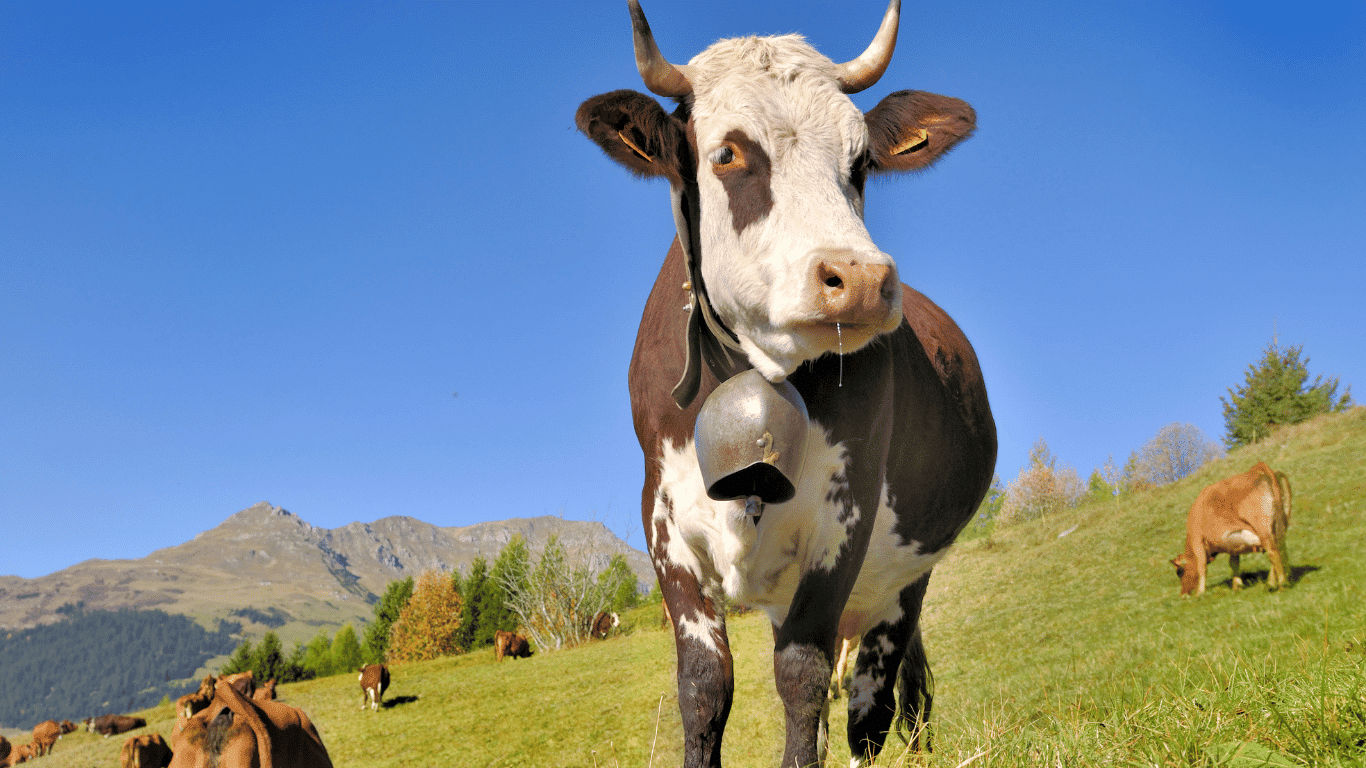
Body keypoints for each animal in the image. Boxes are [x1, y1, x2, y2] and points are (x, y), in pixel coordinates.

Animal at [570, 2, 999, 759]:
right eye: (728, 153)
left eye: (861, 161)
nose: (860, 278)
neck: (755, 368)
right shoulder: (665, 524)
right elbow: (704, 687)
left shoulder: (844, 520)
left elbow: (802, 678)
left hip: (903, 582)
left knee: (875, 707)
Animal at [1174, 456, 1289, 595]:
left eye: (1180, 571)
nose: (1183, 594)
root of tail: (1257, 469)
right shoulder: (1233, 543)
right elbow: (1233, 563)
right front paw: (1237, 586)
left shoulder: (1197, 539)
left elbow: (1201, 566)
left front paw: (1200, 593)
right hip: (1280, 524)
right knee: (1280, 548)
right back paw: (1272, 584)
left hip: (1263, 528)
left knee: (1273, 551)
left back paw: (1281, 584)